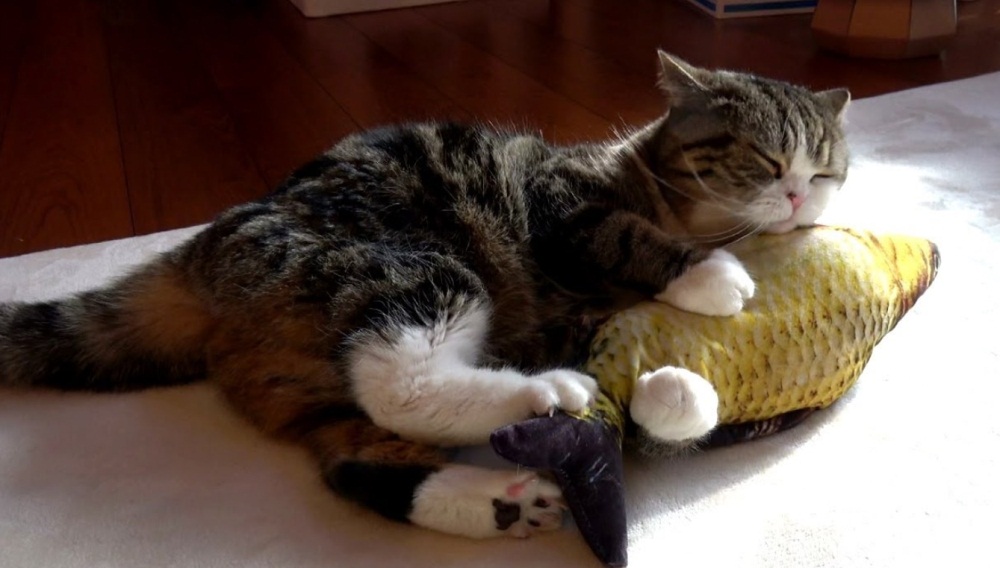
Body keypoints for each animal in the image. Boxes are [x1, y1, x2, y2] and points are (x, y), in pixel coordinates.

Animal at [0, 53, 852, 540]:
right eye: (765, 158)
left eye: (826, 167)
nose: (797, 198)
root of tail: (200, 249)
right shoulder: (560, 201)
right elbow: (621, 234)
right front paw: (710, 276)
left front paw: (677, 393)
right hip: (411, 269)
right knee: (398, 386)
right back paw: (543, 394)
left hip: (306, 379)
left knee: (353, 456)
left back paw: (498, 501)